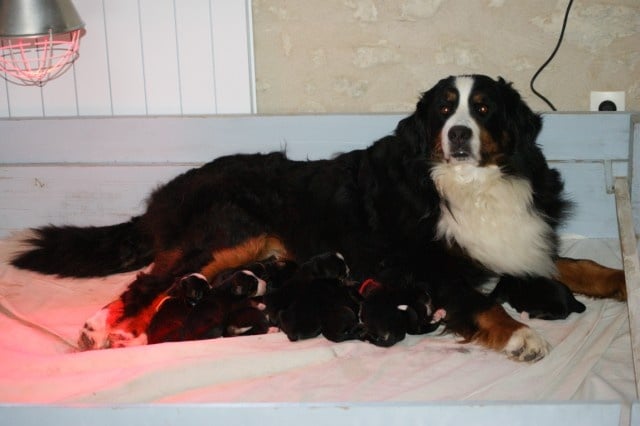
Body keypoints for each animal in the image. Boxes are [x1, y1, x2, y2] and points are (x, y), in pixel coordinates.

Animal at [11, 75, 624, 362]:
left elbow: (578, 263)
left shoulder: (519, 244)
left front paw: (622, 279)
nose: (457, 135)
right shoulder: (430, 267)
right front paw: (521, 335)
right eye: (445, 108)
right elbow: (481, 302)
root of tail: (172, 189)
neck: (469, 187)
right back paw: (103, 328)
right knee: (150, 280)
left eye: (483, 108)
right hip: (230, 234)